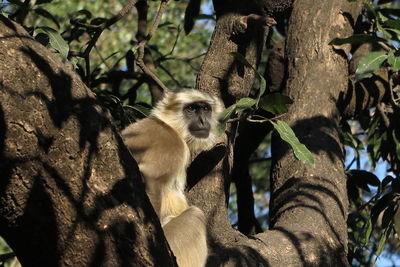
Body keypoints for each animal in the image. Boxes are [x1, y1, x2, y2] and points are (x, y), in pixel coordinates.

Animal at [120, 89, 223, 266]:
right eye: (191, 109)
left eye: (205, 109)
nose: (202, 120)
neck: (170, 126)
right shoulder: (172, 144)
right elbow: (149, 180)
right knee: (195, 215)